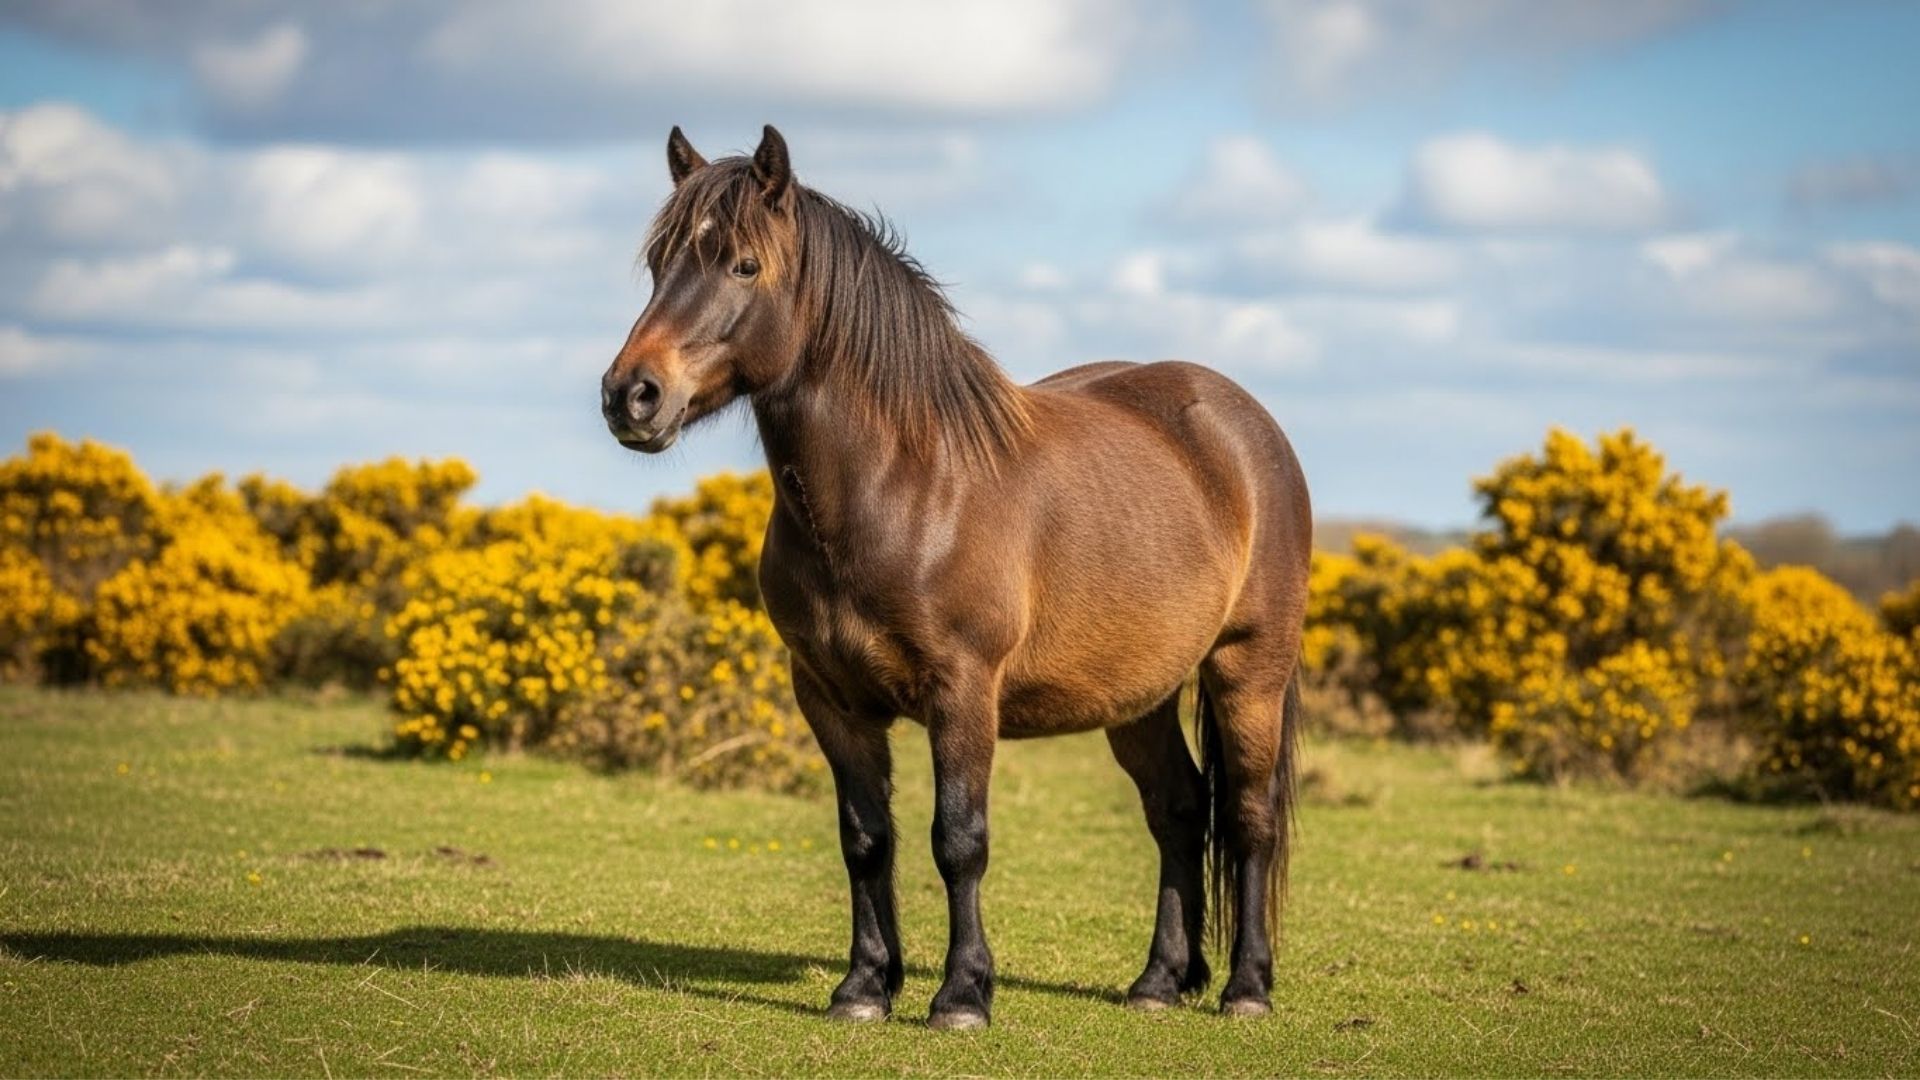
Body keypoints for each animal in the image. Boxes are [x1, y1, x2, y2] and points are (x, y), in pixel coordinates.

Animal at [601, 125, 1311, 1030]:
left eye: (743, 265)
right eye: (660, 264)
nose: (632, 395)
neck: (904, 487)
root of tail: (1245, 425)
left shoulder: (963, 691)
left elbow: (958, 839)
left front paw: (963, 994)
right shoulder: (828, 700)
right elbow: (866, 839)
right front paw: (865, 986)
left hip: (1248, 669)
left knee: (1249, 818)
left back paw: (1246, 987)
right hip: (1138, 696)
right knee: (1179, 811)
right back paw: (1157, 981)